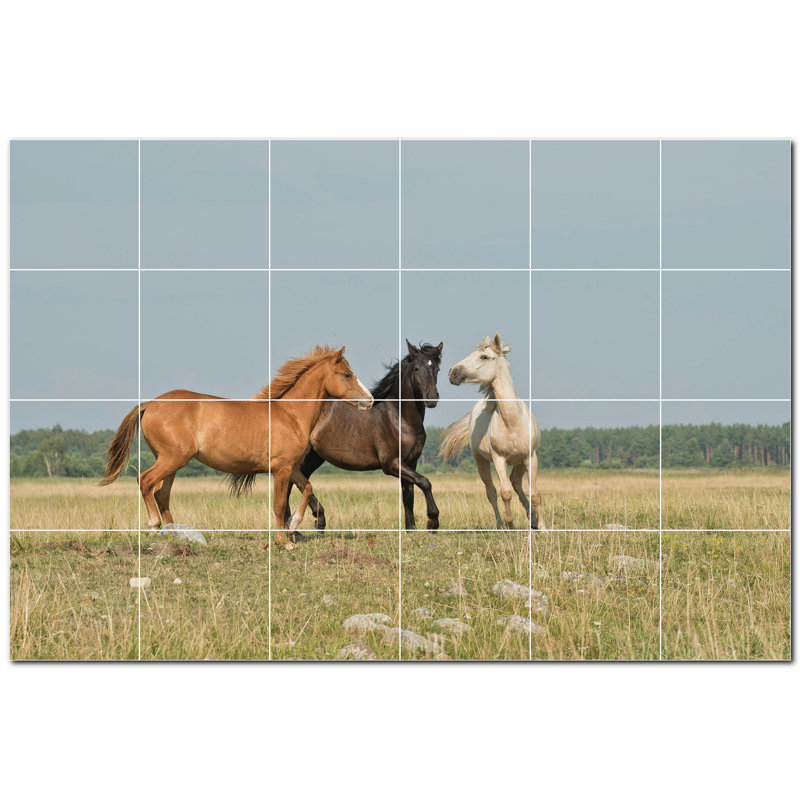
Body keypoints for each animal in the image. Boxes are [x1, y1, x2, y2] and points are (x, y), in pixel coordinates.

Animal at [99, 346, 373, 549]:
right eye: (347, 374)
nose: (370, 400)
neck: (290, 414)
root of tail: (149, 404)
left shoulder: (291, 467)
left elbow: (307, 488)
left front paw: (294, 524)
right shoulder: (281, 470)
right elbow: (278, 505)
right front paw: (284, 541)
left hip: (172, 462)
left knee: (161, 493)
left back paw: (177, 534)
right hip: (172, 459)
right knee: (145, 481)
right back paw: (155, 526)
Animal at [283, 340, 443, 531]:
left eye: (437, 369)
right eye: (416, 368)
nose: (431, 399)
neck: (399, 418)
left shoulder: (411, 462)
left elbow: (408, 495)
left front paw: (411, 530)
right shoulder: (392, 464)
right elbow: (425, 482)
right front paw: (432, 521)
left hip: (314, 457)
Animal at [439, 333, 545, 531]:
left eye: (484, 356)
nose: (452, 373)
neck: (512, 422)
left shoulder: (530, 457)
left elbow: (535, 493)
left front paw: (543, 527)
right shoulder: (499, 459)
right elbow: (505, 493)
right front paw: (510, 526)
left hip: (520, 462)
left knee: (516, 483)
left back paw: (532, 520)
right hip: (481, 461)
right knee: (492, 492)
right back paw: (500, 525)